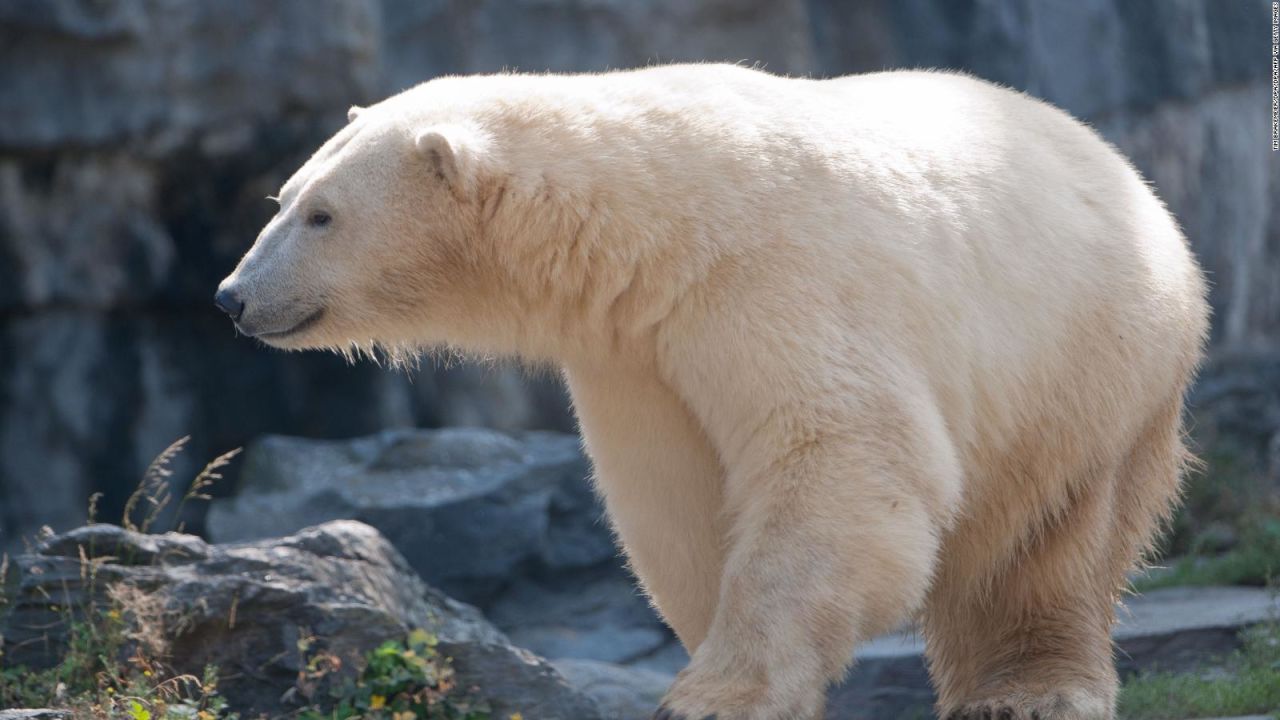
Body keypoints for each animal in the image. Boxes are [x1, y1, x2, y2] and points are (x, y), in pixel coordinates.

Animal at [217, 64, 1208, 712]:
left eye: (322, 214)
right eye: (283, 198)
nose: (232, 297)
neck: (656, 220)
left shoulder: (777, 281)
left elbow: (842, 459)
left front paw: (720, 692)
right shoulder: (636, 352)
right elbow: (675, 500)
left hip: (1088, 364)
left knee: (1052, 540)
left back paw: (1029, 689)